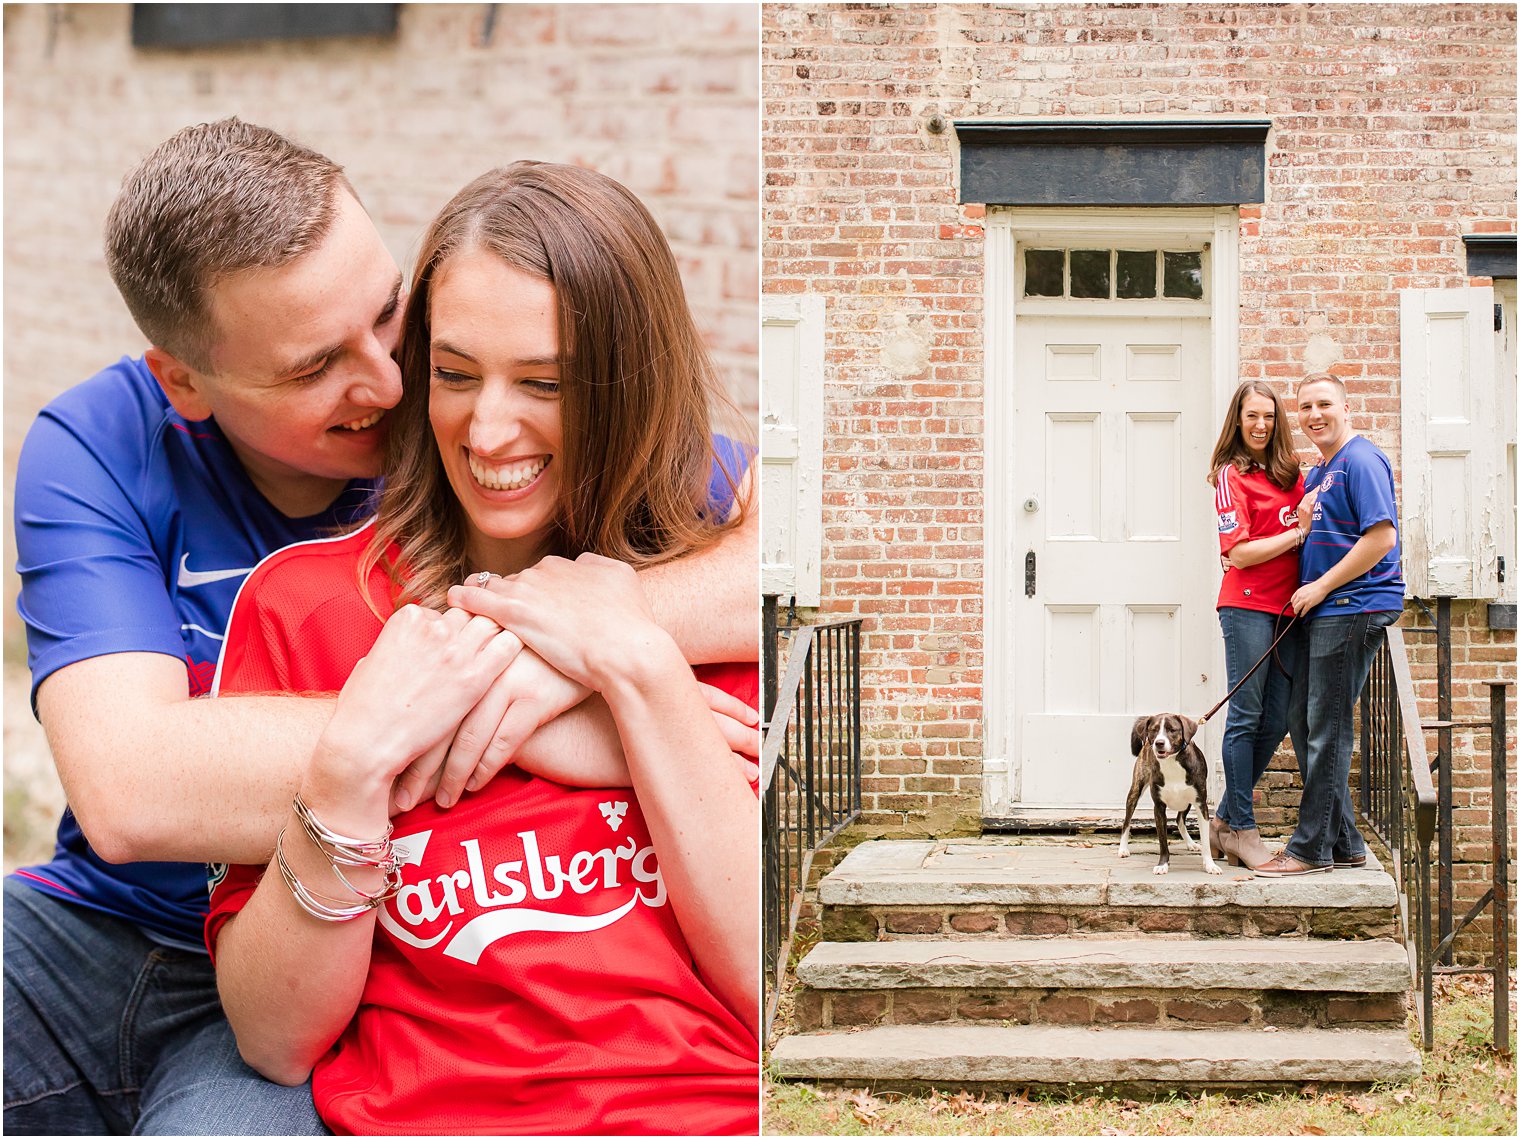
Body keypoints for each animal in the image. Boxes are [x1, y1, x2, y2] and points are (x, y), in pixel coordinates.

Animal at [1118, 711, 1222, 882]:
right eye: (1154, 729)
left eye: (1172, 730)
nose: (1159, 743)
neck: (1172, 762)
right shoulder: (1159, 807)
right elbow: (1163, 842)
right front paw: (1162, 865)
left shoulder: (1201, 804)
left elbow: (1206, 840)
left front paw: (1210, 865)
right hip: (1135, 791)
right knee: (1126, 821)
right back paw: (1123, 848)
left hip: (1187, 802)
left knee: (1180, 820)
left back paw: (1191, 843)